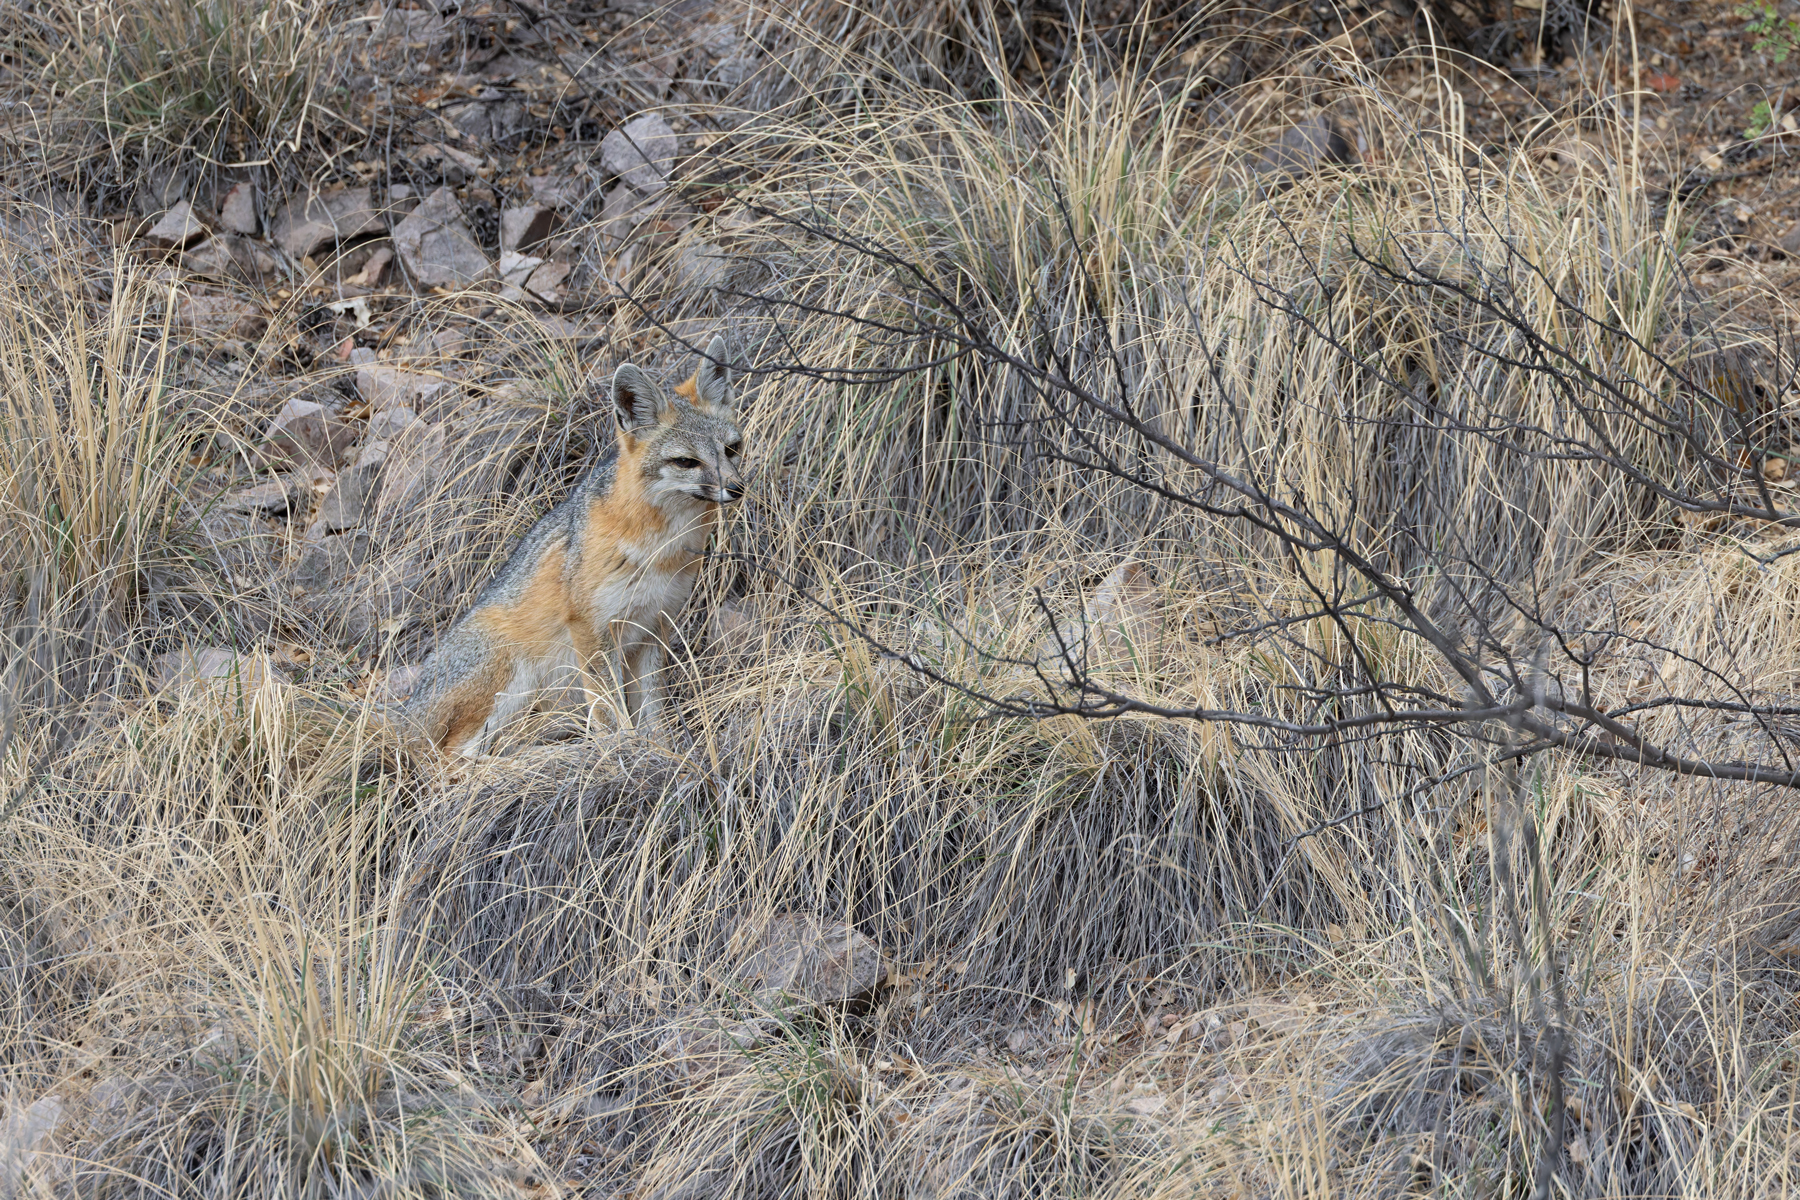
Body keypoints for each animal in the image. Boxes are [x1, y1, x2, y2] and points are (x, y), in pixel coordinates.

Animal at [401, 335, 743, 756]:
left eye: (732, 449)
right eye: (686, 462)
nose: (737, 488)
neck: (660, 551)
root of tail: (408, 707)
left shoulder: (653, 628)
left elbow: (653, 712)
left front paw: (661, 752)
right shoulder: (591, 631)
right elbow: (611, 713)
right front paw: (624, 754)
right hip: (510, 676)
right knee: (450, 757)